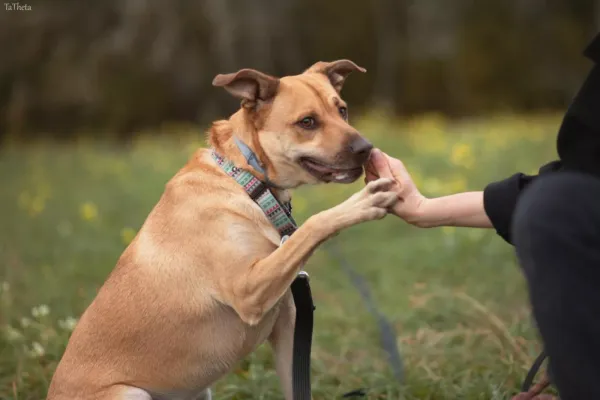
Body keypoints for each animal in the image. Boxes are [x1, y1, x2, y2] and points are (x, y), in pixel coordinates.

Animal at [47, 60, 398, 400]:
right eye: (307, 122)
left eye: (342, 110)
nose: (367, 148)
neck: (246, 179)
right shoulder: (248, 290)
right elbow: (313, 225)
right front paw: (360, 204)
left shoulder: (288, 324)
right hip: (130, 393)